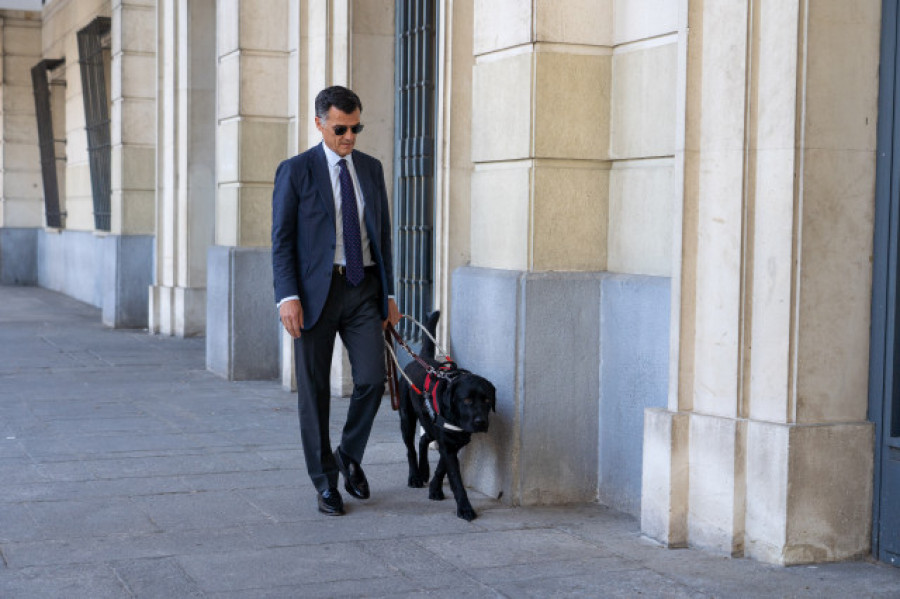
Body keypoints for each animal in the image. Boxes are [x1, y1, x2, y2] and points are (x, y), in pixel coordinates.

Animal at [398, 312, 496, 524]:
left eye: (486, 400)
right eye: (467, 400)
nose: (480, 422)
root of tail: (422, 357)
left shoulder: (456, 440)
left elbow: (442, 467)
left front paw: (435, 488)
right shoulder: (448, 443)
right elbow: (455, 479)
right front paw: (465, 508)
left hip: (429, 422)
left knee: (424, 438)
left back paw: (424, 470)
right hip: (406, 418)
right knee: (410, 448)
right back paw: (415, 476)